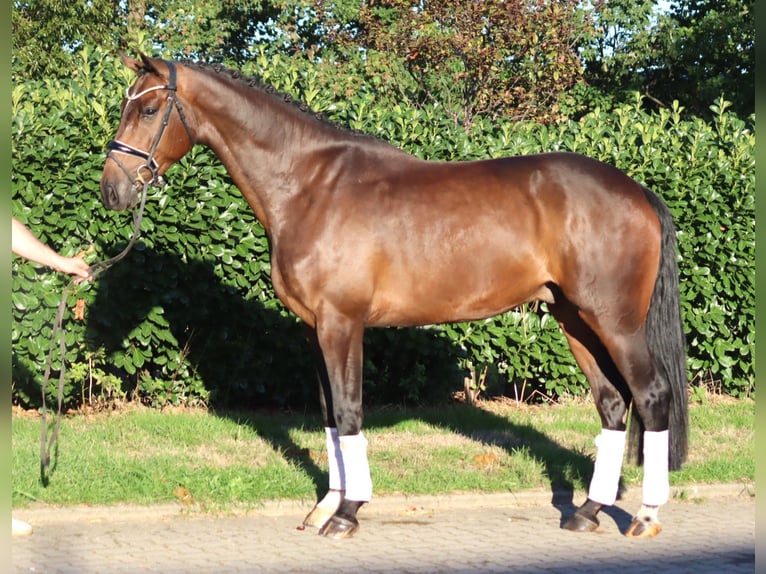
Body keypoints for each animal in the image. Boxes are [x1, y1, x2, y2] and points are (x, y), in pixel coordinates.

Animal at [99, 53, 688, 540]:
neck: (310, 185)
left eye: (148, 108)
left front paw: (347, 513)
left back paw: (645, 516)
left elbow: (350, 411)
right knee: (612, 404)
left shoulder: (342, 323)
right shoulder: (314, 328)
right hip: (574, 319)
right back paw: (587, 511)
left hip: (615, 323)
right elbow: (329, 412)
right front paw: (327, 505)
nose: (112, 189)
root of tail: (636, 191)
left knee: (651, 395)